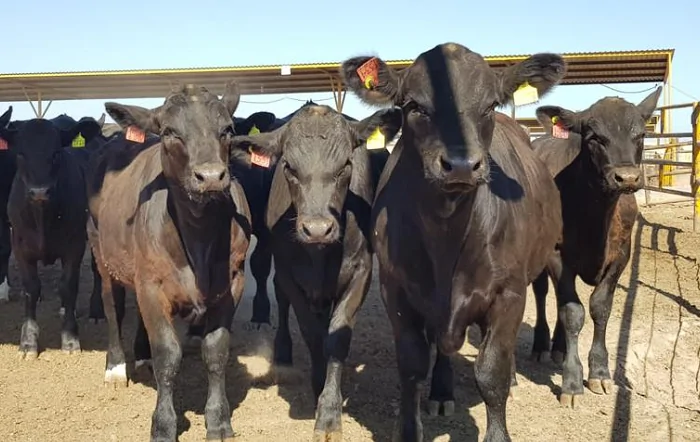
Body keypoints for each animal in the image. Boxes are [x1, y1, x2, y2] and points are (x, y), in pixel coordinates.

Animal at [0, 112, 104, 358]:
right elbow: (31, 287)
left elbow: (68, 285)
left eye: (56, 152)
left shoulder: (74, 246)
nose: (39, 191)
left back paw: (95, 311)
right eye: (21, 153)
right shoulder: (19, 245)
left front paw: (70, 338)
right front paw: (28, 342)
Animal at [86, 81, 258, 440]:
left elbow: (216, 350)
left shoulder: (233, 282)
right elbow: (167, 354)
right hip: (100, 252)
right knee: (113, 307)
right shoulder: (152, 285)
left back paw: (141, 356)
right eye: (169, 132)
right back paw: (116, 366)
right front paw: (163, 424)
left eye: (227, 129)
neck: (199, 237)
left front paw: (219, 420)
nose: (211, 176)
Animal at [232, 102, 402, 438]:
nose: (317, 229)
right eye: (289, 167)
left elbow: (336, 339)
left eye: (345, 165)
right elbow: (311, 334)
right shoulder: (290, 274)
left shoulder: (361, 273)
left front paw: (329, 413)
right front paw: (317, 386)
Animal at [340, 42, 568, 442]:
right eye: (414, 105)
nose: (461, 164)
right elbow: (412, 367)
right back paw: (442, 392)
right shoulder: (396, 291)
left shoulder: (508, 293)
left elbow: (491, 373)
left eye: (490, 105)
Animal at [532, 87, 660, 408]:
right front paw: (572, 381)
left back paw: (559, 347)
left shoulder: (621, 255)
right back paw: (542, 344)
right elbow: (572, 312)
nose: (627, 177)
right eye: (594, 137)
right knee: (543, 293)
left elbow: (599, 308)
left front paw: (600, 371)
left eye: (640, 134)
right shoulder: (556, 255)